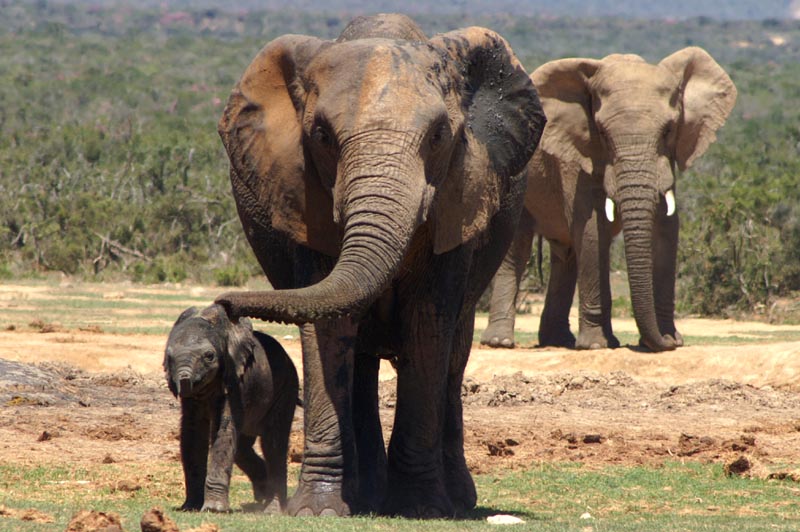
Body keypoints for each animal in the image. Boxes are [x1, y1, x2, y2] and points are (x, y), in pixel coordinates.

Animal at [164, 306, 298, 512]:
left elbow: (224, 429)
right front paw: (190, 508)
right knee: (243, 447)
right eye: (169, 358)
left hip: (286, 387)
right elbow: (192, 432)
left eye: (209, 356)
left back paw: (272, 509)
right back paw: (261, 494)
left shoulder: (236, 380)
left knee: (273, 443)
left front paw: (214, 510)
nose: (184, 382)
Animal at [216, 15, 548, 516]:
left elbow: (427, 325)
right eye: (322, 136)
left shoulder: (458, 196)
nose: (224, 305)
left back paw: (454, 499)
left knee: (453, 356)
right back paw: (366, 496)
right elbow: (328, 329)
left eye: (439, 136)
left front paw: (421, 508)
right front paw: (319, 510)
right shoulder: (305, 198)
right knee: (359, 360)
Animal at [482, 46, 736, 354]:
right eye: (602, 133)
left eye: (668, 130)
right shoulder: (578, 159)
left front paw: (670, 339)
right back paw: (500, 342)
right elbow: (593, 231)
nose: (662, 343)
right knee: (517, 248)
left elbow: (666, 230)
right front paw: (596, 345)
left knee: (566, 254)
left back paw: (558, 341)